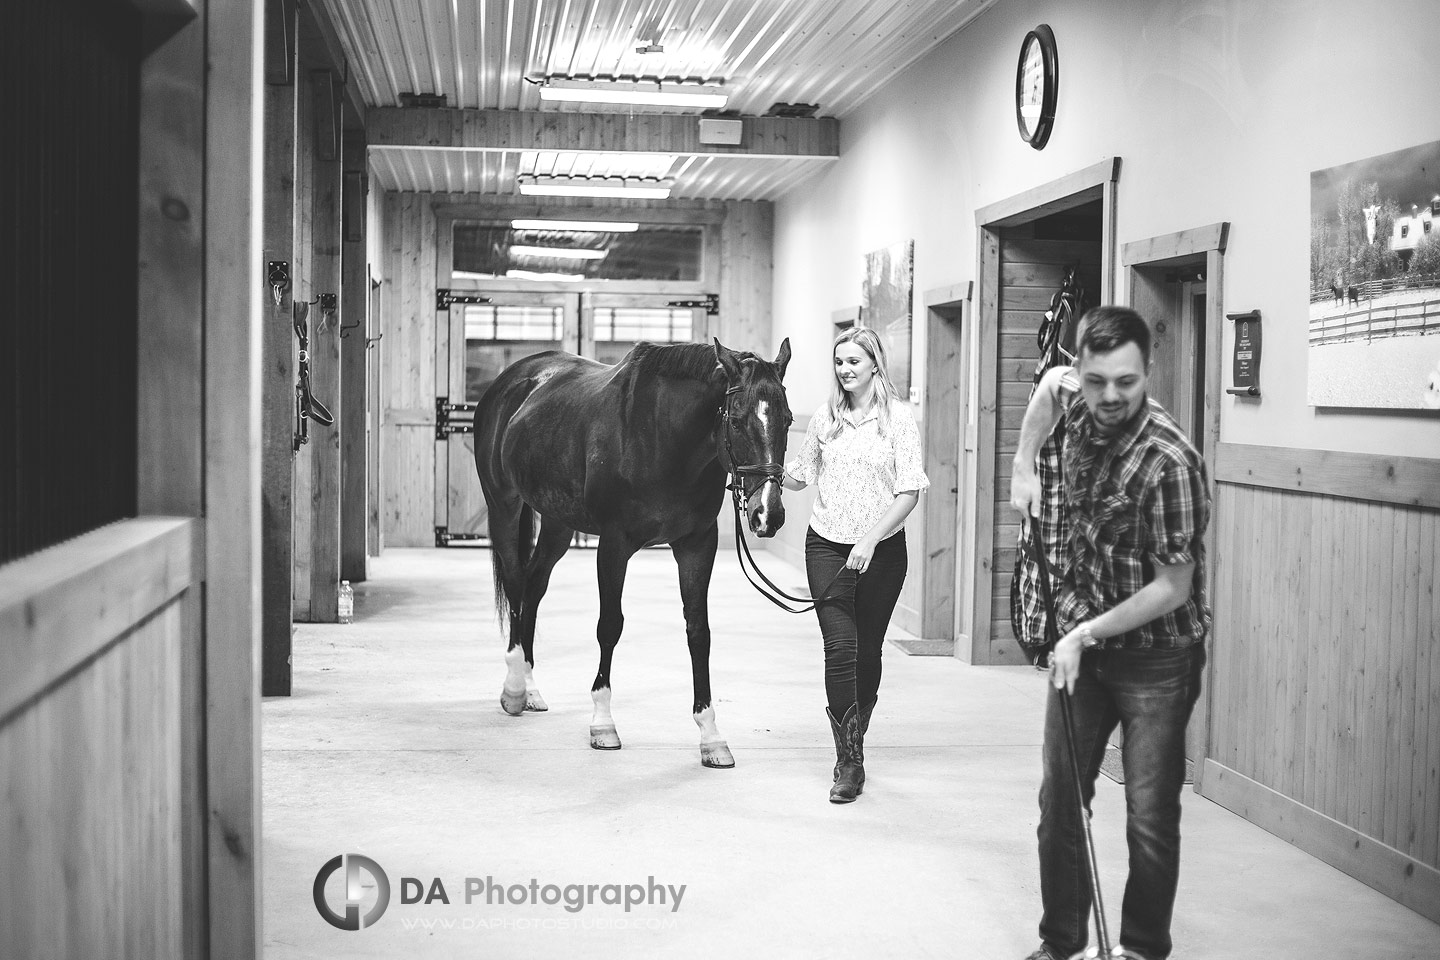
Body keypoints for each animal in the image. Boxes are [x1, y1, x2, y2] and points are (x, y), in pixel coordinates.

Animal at [472, 333, 794, 771]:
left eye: (788, 420)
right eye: (737, 420)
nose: (767, 514)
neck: (663, 438)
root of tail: (513, 381)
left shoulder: (697, 544)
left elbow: (699, 631)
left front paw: (711, 736)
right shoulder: (613, 544)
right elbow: (609, 625)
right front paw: (602, 723)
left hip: (557, 521)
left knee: (534, 587)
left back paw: (531, 687)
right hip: (503, 507)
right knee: (518, 585)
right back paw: (514, 689)